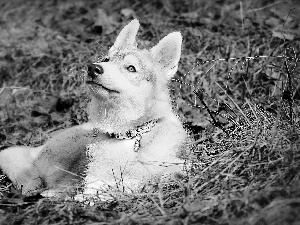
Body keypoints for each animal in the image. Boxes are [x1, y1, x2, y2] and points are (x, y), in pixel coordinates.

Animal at [0, 18, 189, 199]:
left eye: (131, 68)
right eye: (106, 60)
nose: (93, 68)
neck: (128, 135)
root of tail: (38, 148)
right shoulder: (93, 179)